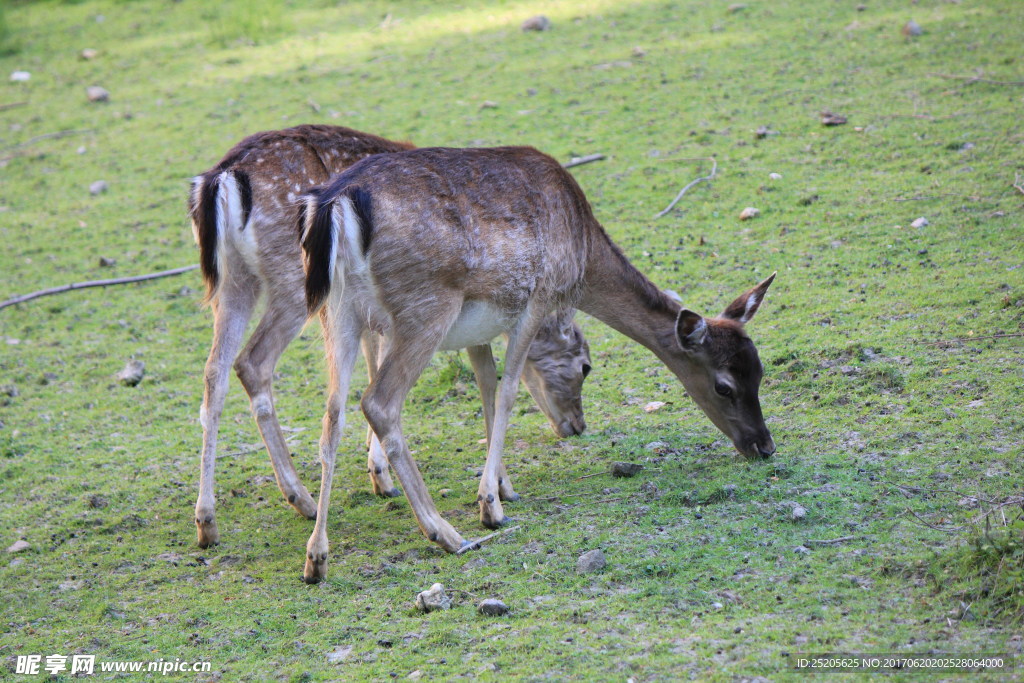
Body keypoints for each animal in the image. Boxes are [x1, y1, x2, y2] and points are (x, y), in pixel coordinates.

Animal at [186, 126, 593, 548]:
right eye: (585, 366)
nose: (576, 425)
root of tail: (221, 179)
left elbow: (371, 362)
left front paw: (378, 471)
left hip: (235, 281)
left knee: (216, 369)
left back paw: (208, 522)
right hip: (294, 283)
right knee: (254, 362)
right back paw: (304, 500)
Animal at [299, 144, 778, 581]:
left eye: (759, 371)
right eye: (724, 386)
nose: (764, 445)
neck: (583, 256)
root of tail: (337, 203)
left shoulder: (481, 328)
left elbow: (487, 388)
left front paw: (502, 488)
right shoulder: (538, 297)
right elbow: (509, 390)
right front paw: (490, 508)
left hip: (336, 312)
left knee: (332, 414)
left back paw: (317, 558)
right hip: (425, 308)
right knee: (379, 402)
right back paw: (446, 533)